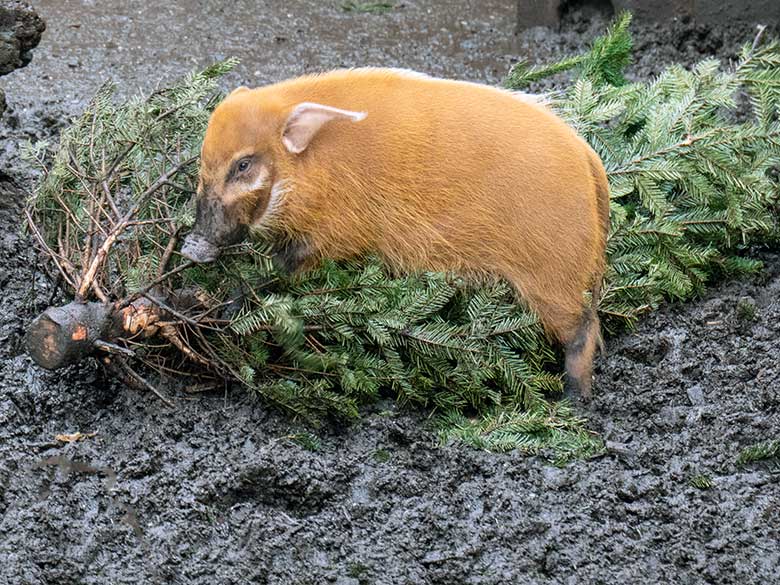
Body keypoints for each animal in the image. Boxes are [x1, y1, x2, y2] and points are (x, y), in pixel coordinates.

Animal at [181, 67, 608, 396]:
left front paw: (226, 306)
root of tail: (589, 158)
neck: (311, 167)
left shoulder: (335, 235)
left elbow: (273, 269)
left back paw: (574, 400)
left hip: (553, 277)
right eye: (204, 164)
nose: (191, 248)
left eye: (243, 165)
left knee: (585, 326)